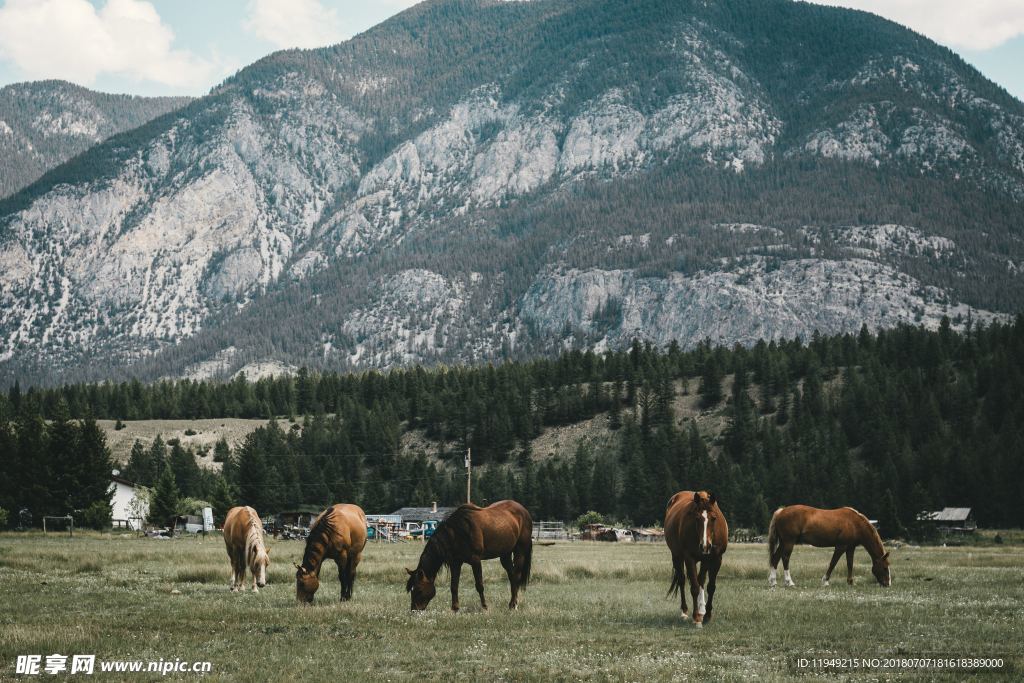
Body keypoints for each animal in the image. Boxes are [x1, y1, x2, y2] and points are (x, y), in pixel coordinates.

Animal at [403, 499, 532, 610]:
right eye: (411, 590)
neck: (456, 533)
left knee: (517, 575)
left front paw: (484, 607)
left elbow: (479, 585)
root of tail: (524, 511)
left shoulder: (475, 561)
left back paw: (514, 604)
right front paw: (455, 609)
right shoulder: (455, 563)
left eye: (419, 589)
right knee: (511, 576)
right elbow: (454, 586)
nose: (414, 610)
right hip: (505, 554)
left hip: (520, 550)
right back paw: (511, 604)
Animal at [663, 489, 729, 626]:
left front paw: (707, 615)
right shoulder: (689, 558)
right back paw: (684, 611)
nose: (705, 546)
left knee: (701, 580)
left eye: (714, 518)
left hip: (705, 560)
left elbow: (710, 587)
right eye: (697, 518)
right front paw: (696, 617)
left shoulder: (717, 559)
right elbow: (694, 587)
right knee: (682, 580)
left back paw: (702, 609)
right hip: (676, 556)